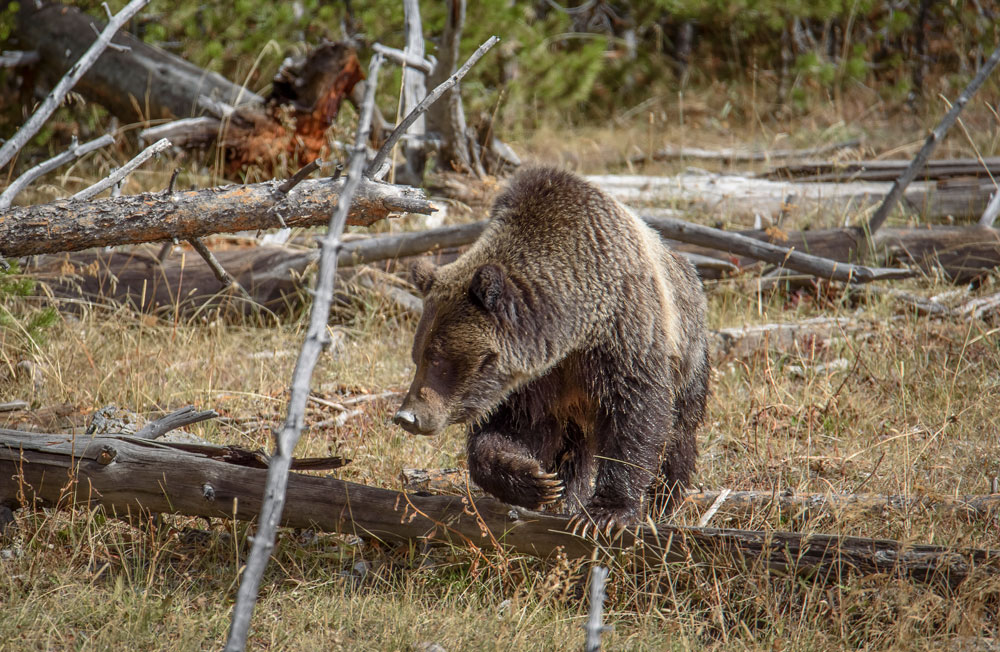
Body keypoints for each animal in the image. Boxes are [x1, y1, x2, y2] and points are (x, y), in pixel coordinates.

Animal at [393, 166, 709, 536]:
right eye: (418, 355)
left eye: (438, 358)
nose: (407, 416)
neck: (572, 330)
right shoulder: (532, 379)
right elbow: (513, 429)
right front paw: (536, 481)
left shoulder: (622, 334)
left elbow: (637, 413)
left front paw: (608, 512)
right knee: (575, 450)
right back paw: (567, 497)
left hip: (690, 353)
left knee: (680, 432)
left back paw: (665, 500)